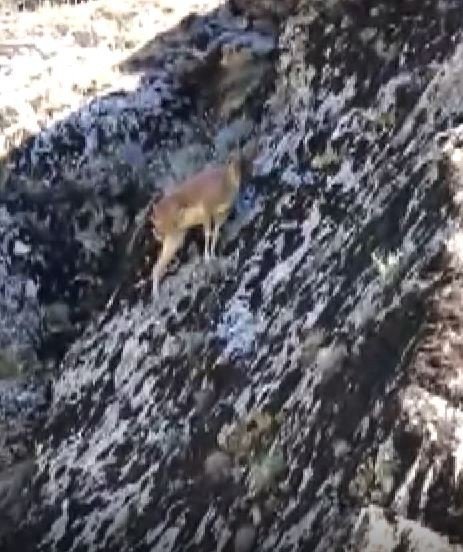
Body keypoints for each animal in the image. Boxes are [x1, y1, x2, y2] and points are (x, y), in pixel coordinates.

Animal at [149, 150, 243, 296]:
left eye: (240, 158)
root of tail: (155, 212)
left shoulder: (219, 217)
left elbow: (215, 234)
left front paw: (212, 255)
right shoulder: (207, 213)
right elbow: (208, 234)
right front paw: (207, 257)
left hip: (175, 239)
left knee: (157, 266)